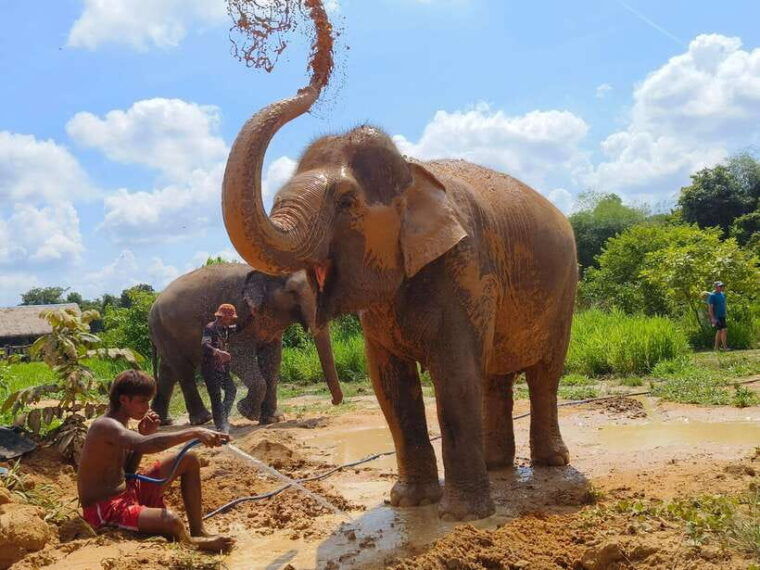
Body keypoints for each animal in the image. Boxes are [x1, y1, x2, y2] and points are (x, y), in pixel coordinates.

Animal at [149, 262, 343, 426]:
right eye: (292, 291)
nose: (333, 401)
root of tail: (153, 305)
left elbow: (273, 360)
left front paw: (272, 419)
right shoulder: (238, 310)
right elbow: (237, 357)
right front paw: (246, 412)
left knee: (168, 371)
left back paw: (162, 420)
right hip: (166, 330)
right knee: (183, 370)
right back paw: (203, 420)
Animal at [220, 86, 577, 520]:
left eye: (346, 202)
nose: (313, 84)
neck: (412, 173)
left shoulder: (466, 264)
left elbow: (455, 375)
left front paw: (462, 516)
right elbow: (390, 384)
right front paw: (409, 502)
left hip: (565, 291)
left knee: (545, 373)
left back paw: (551, 463)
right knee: (495, 376)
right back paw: (497, 466)